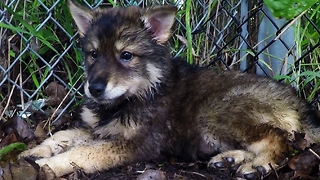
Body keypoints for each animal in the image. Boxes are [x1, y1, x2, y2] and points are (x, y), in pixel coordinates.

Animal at [20, 0, 320, 179]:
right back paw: (229, 160)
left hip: (215, 112)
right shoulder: (96, 129)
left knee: (277, 138)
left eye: (126, 56)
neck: (138, 94)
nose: (94, 89)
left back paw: (257, 165)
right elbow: (63, 135)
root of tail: (300, 105)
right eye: (93, 54)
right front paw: (32, 153)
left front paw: (47, 166)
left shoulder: (136, 144)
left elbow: (81, 153)